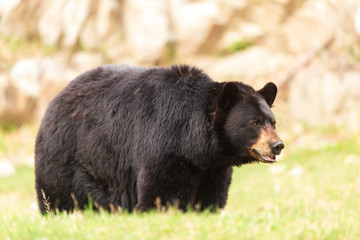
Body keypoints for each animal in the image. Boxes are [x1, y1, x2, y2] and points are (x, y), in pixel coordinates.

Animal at [35, 64, 284, 214]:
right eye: (254, 123)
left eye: (272, 122)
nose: (277, 145)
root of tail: (55, 99)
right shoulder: (162, 138)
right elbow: (160, 189)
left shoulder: (212, 168)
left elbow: (211, 196)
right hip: (66, 157)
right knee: (58, 196)